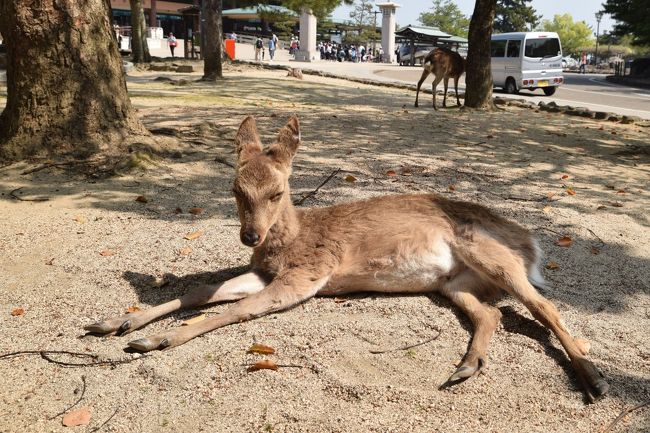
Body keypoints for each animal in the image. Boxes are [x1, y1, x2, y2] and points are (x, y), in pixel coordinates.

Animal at [86, 115, 608, 402]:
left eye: (278, 192)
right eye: (235, 189)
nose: (250, 235)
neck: (290, 242)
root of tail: (531, 244)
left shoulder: (307, 275)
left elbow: (237, 311)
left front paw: (156, 342)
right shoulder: (265, 272)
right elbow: (201, 289)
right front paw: (116, 324)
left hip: (490, 254)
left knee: (545, 305)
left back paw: (594, 379)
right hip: (456, 283)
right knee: (492, 315)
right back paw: (465, 368)